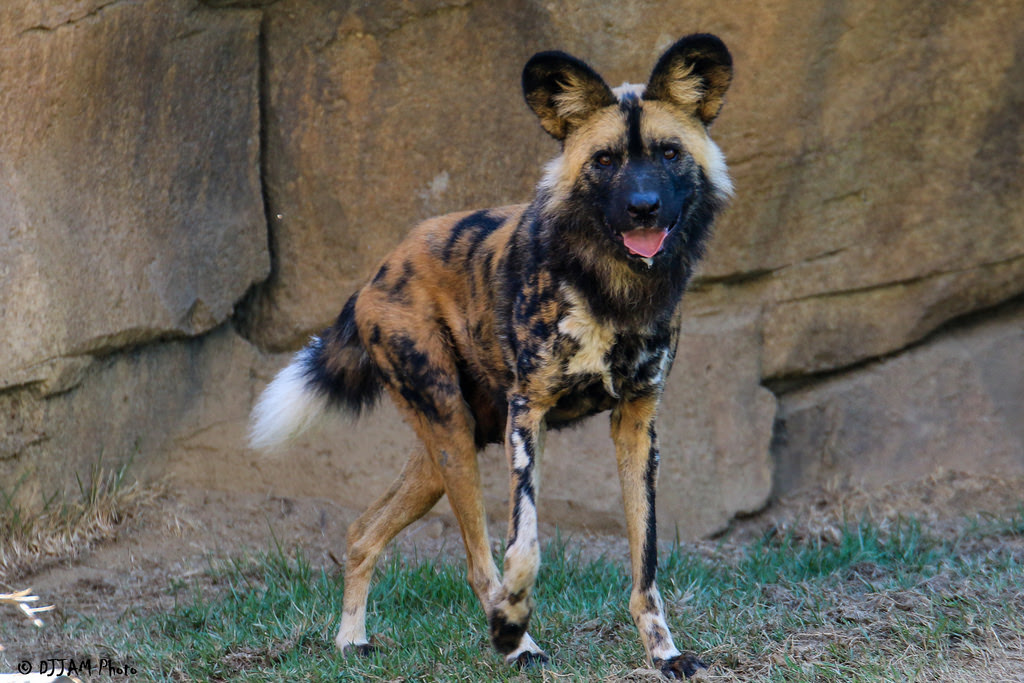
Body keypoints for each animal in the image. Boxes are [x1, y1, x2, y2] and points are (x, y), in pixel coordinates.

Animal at [250, 36, 733, 679]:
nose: (643, 207)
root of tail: (377, 274)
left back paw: (350, 639)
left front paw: (664, 652)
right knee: (478, 562)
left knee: (361, 530)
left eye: (670, 153)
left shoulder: (636, 423)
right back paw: (514, 641)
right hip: (453, 434)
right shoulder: (526, 417)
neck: (615, 290)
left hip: (442, 453)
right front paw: (512, 627)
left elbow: (645, 563)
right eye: (605, 160)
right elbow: (522, 550)